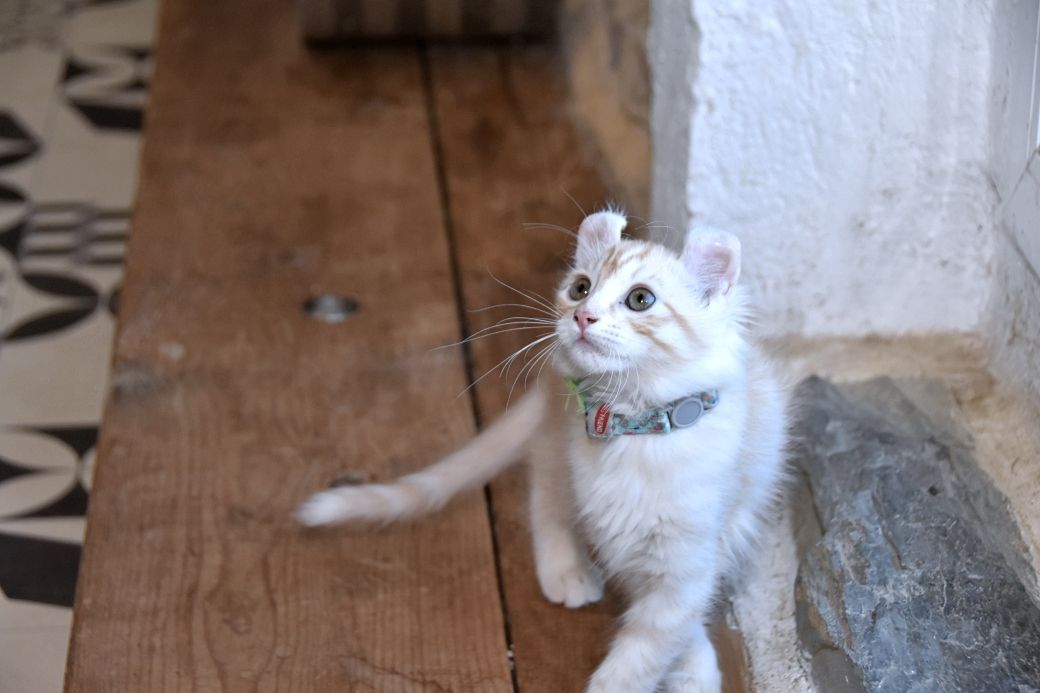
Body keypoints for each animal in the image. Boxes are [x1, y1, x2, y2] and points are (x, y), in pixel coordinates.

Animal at [296, 210, 789, 693]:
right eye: (580, 289)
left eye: (640, 299)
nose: (582, 317)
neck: (631, 428)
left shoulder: (687, 560)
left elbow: (650, 646)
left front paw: (690, 671)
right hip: (556, 447)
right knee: (545, 501)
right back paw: (565, 571)